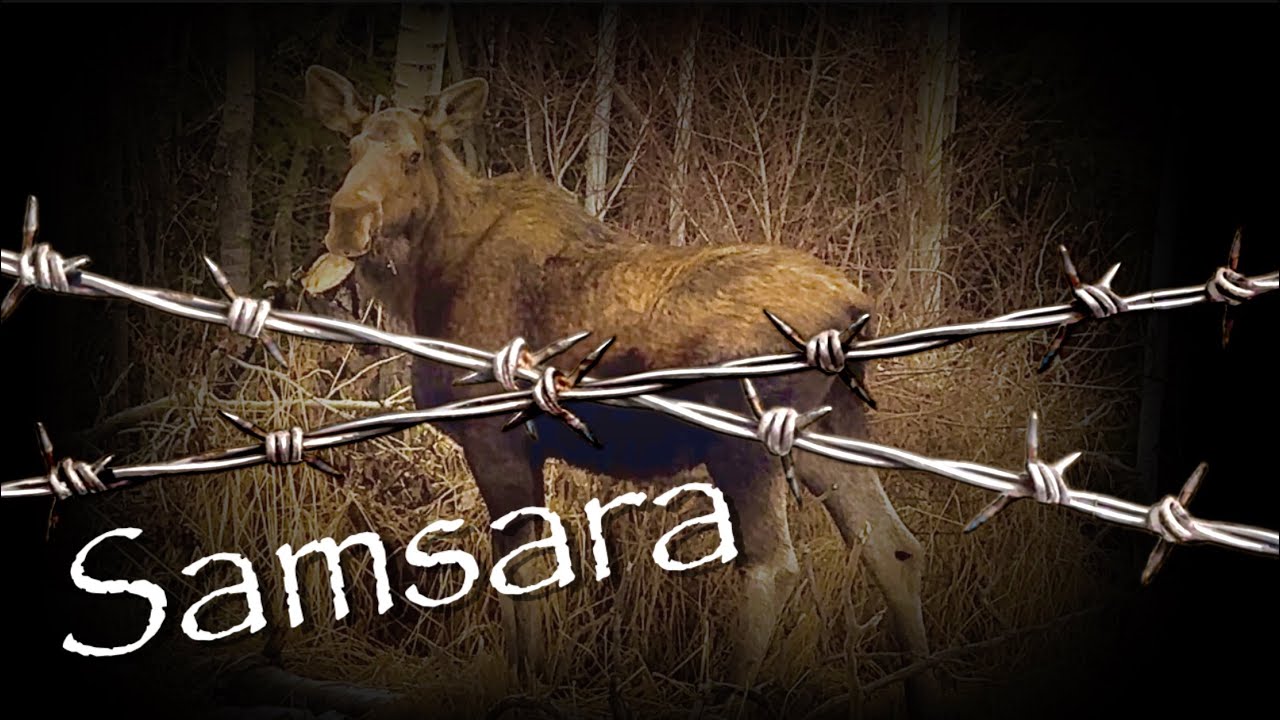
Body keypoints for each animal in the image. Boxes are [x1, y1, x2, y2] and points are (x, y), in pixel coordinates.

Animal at [300, 65, 943, 717]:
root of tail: (856, 312)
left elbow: (518, 572)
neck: (425, 286)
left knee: (773, 568)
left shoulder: (494, 439)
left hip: (745, 441)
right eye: (349, 148)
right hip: (833, 432)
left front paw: (526, 688)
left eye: (412, 155)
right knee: (895, 548)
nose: (346, 217)